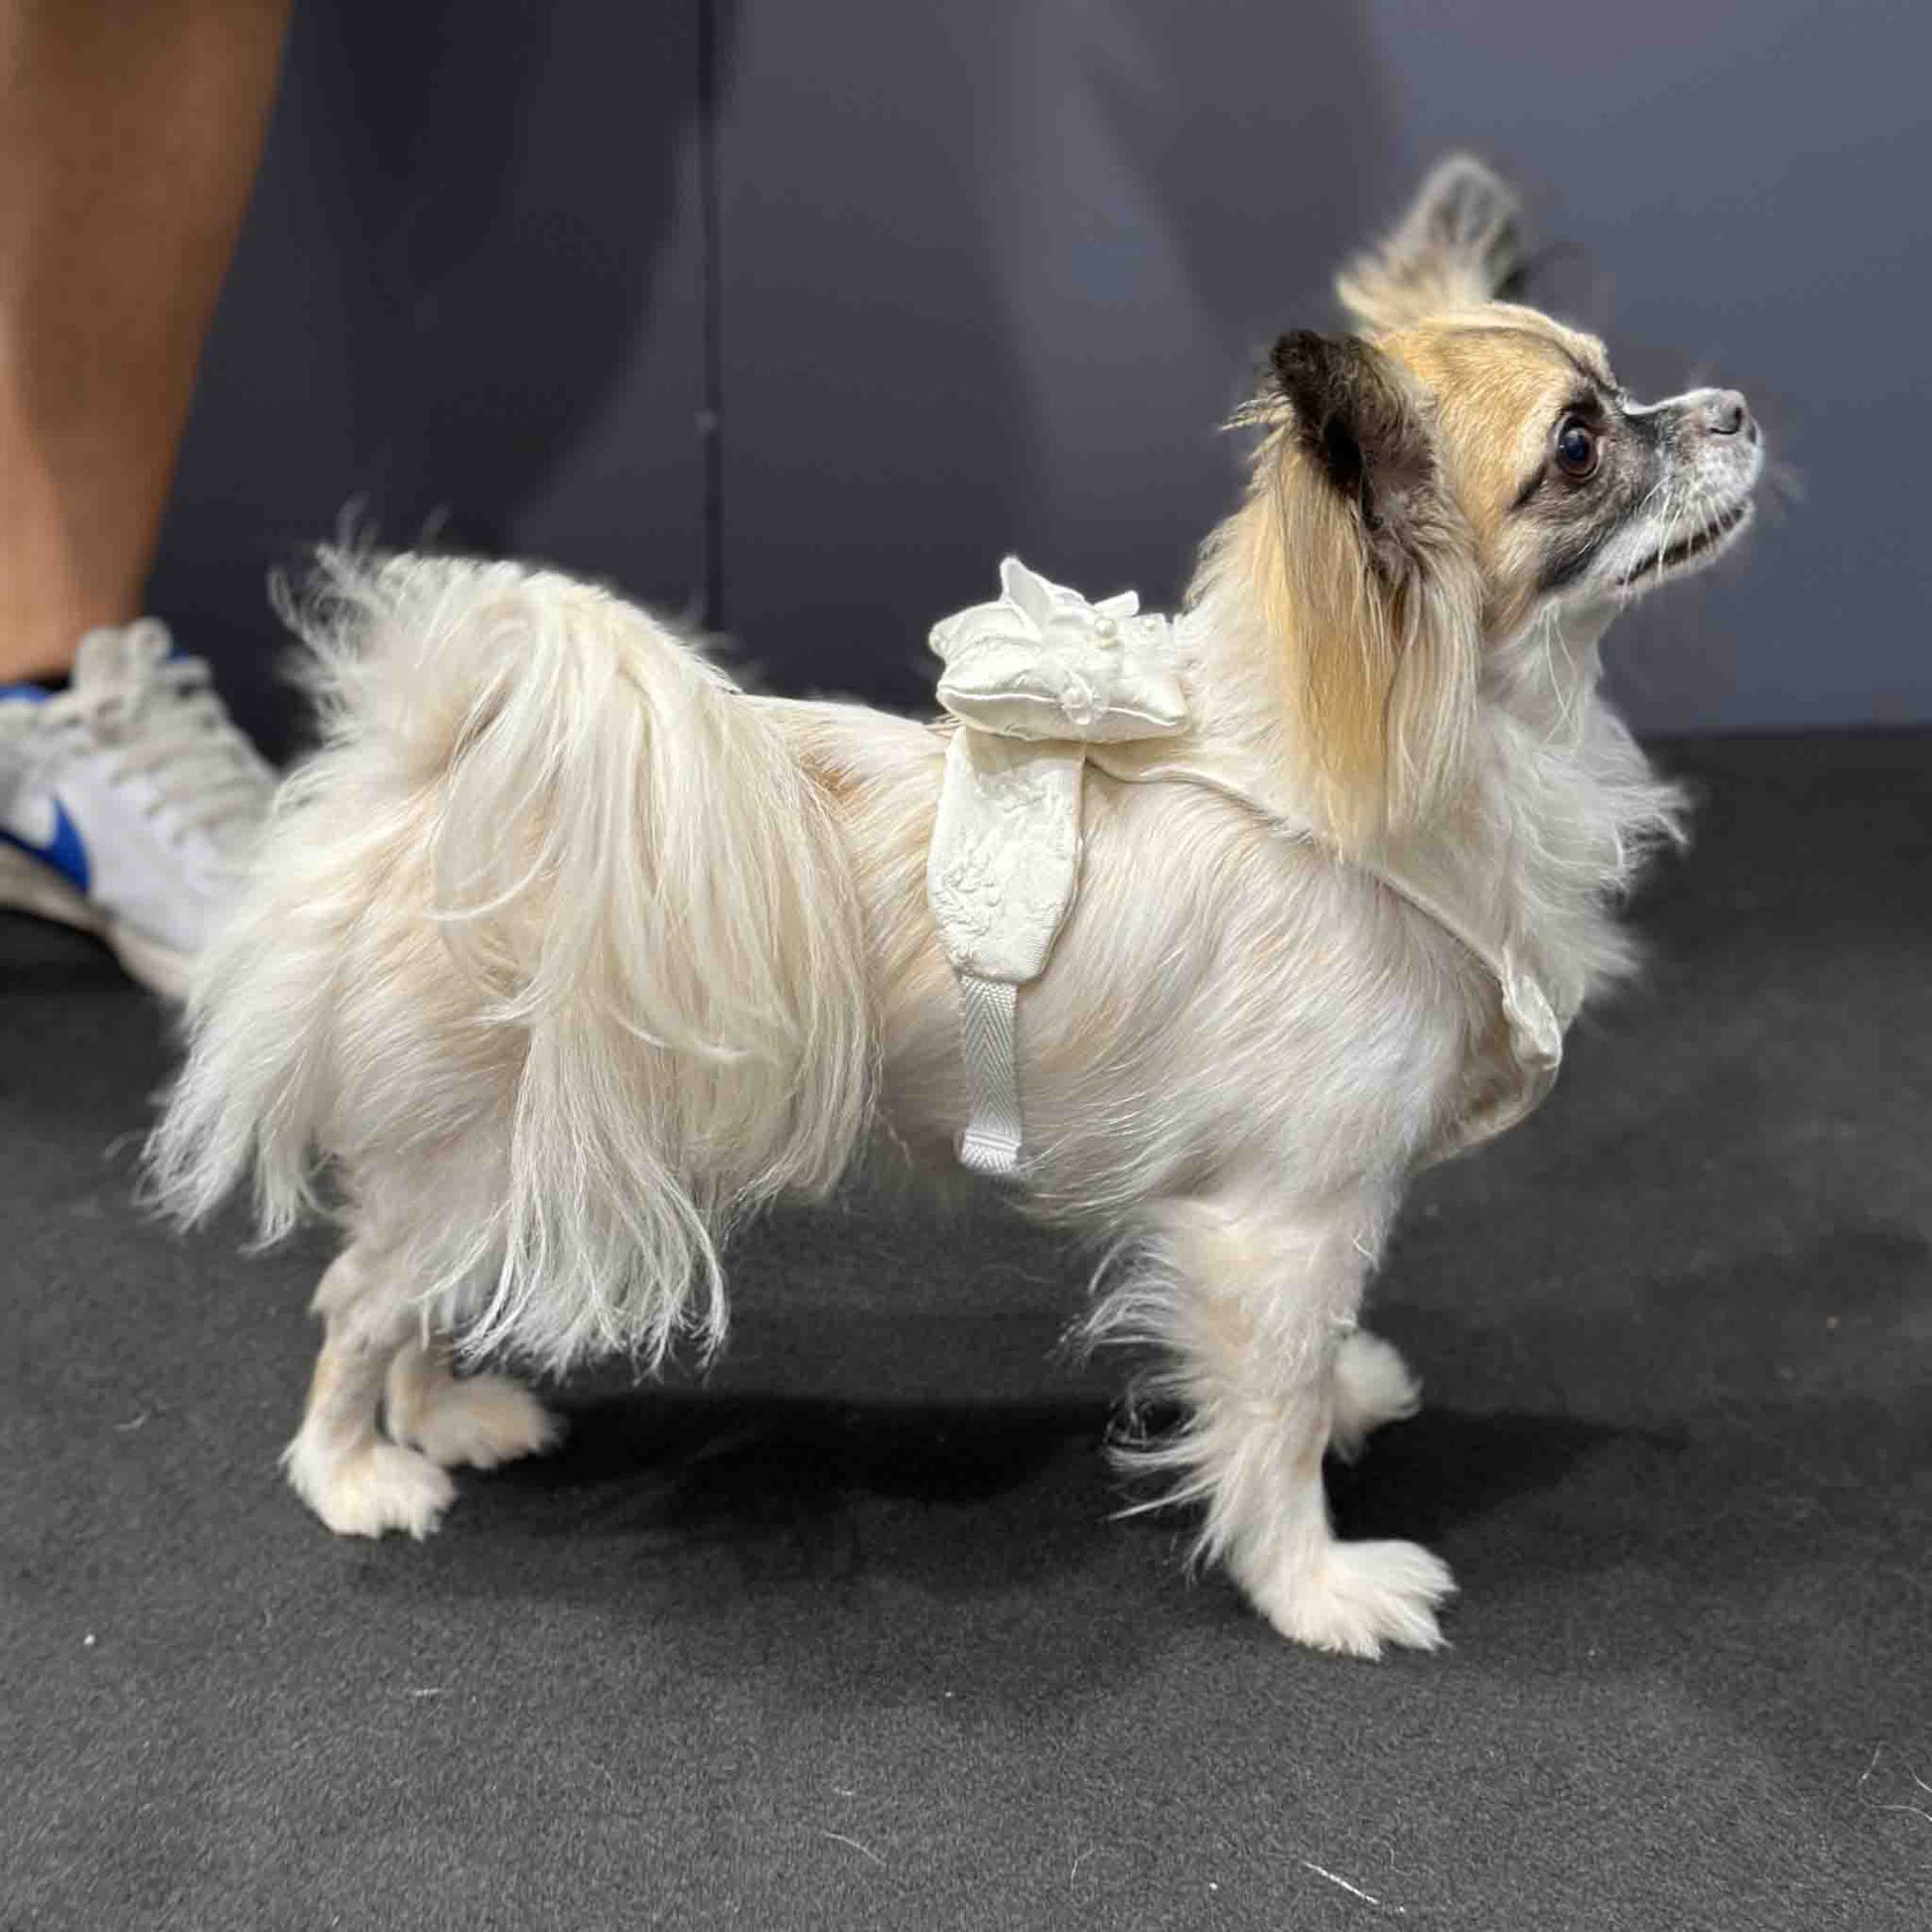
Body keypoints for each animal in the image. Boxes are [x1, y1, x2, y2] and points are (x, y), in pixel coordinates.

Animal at [150, 158, 1769, 1653]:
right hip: (478, 1158)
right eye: (1578, 444)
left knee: (410, 1294)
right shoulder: (1277, 1221)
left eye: (1620, 386)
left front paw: (1347, 1400)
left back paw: (447, 1413)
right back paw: (355, 1470)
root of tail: (428, 778)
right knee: (355, 1299)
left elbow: (1305, 1364)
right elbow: (1265, 1411)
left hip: (497, 1160)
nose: (1738, 406)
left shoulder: (1318, 1215)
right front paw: (1311, 1582)